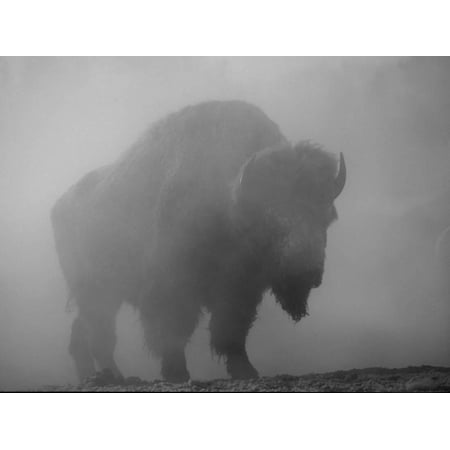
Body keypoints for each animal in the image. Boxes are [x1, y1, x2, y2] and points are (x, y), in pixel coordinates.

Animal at [51, 100, 346, 382]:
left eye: (326, 216)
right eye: (272, 217)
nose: (306, 272)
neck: (231, 202)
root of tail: (60, 206)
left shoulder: (240, 289)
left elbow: (231, 330)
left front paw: (246, 370)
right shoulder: (172, 286)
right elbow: (172, 330)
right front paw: (176, 373)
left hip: (103, 295)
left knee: (83, 334)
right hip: (95, 291)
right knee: (99, 335)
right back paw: (114, 376)